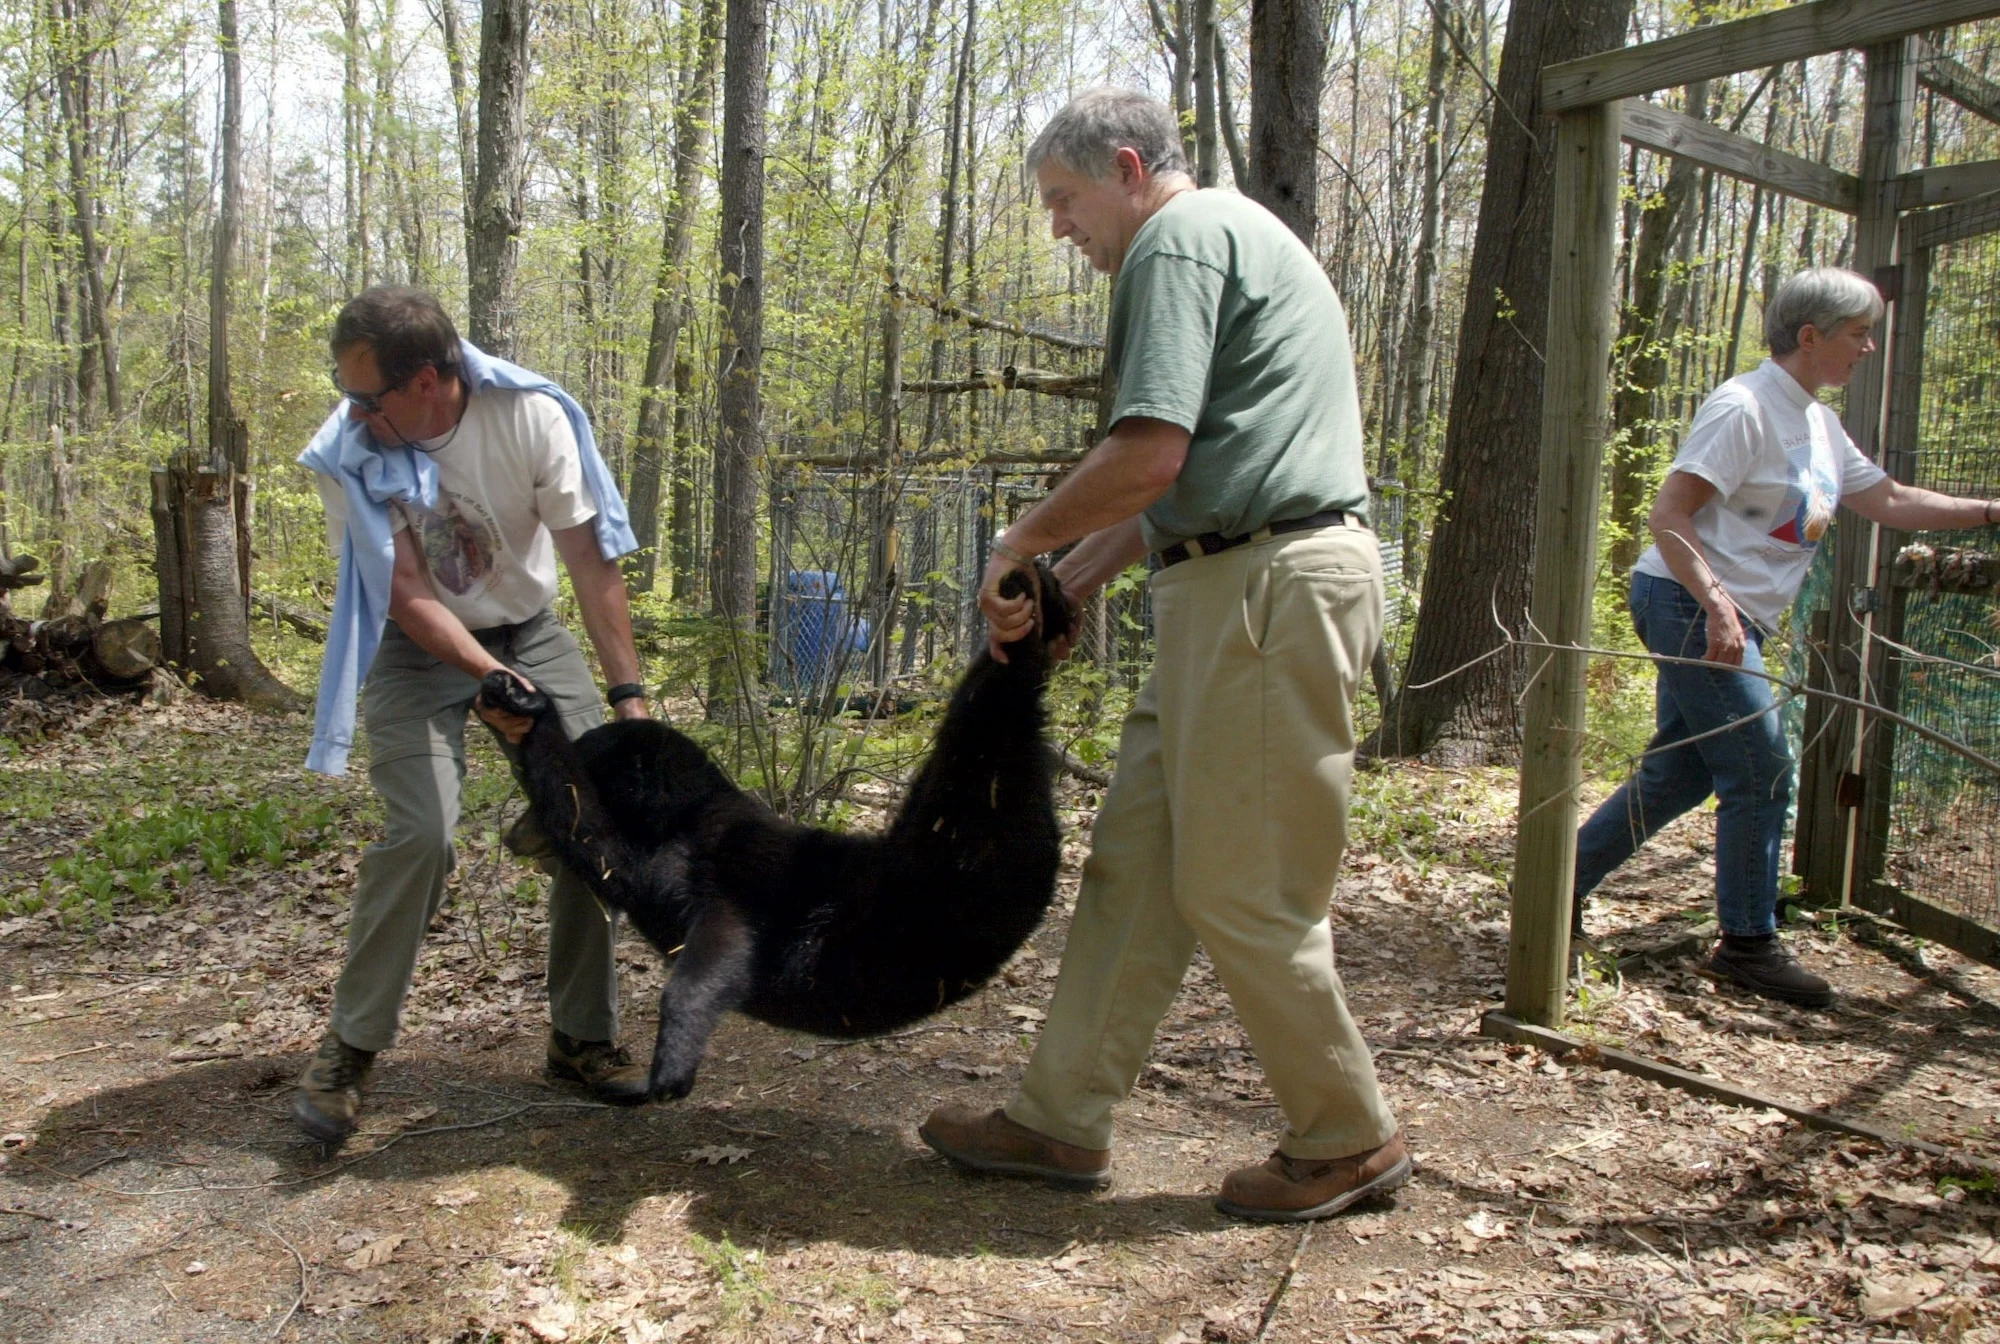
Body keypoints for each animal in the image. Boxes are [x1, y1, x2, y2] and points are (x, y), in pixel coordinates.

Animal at [480, 568, 1080, 1104]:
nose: (509, 836)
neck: (683, 813)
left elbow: (711, 932)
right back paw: (1039, 605)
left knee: (980, 720)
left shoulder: (713, 855)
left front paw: (666, 1068)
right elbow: (598, 847)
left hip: (951, 835)